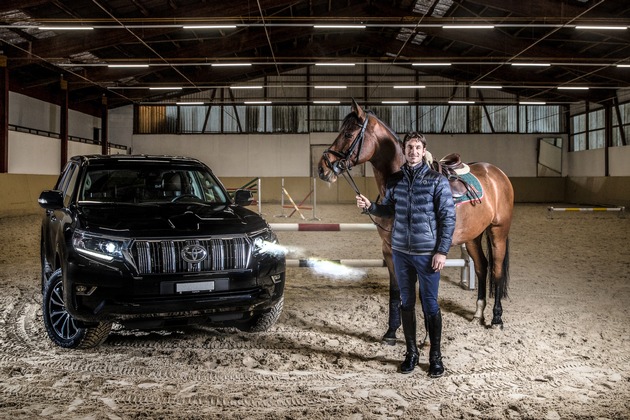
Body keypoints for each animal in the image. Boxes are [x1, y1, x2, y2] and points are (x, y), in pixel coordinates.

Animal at [317, 99, 514, 343]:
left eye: (348, 133)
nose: (323, 167)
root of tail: (497, 173)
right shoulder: (390, 250)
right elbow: (397, 291)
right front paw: (391, 332)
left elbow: (423, 294)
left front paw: (427, 338)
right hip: (473, 237)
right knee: (481, 267)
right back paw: (478, 314)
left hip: (498, 231)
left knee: (496, 270)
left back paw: (496, 319)